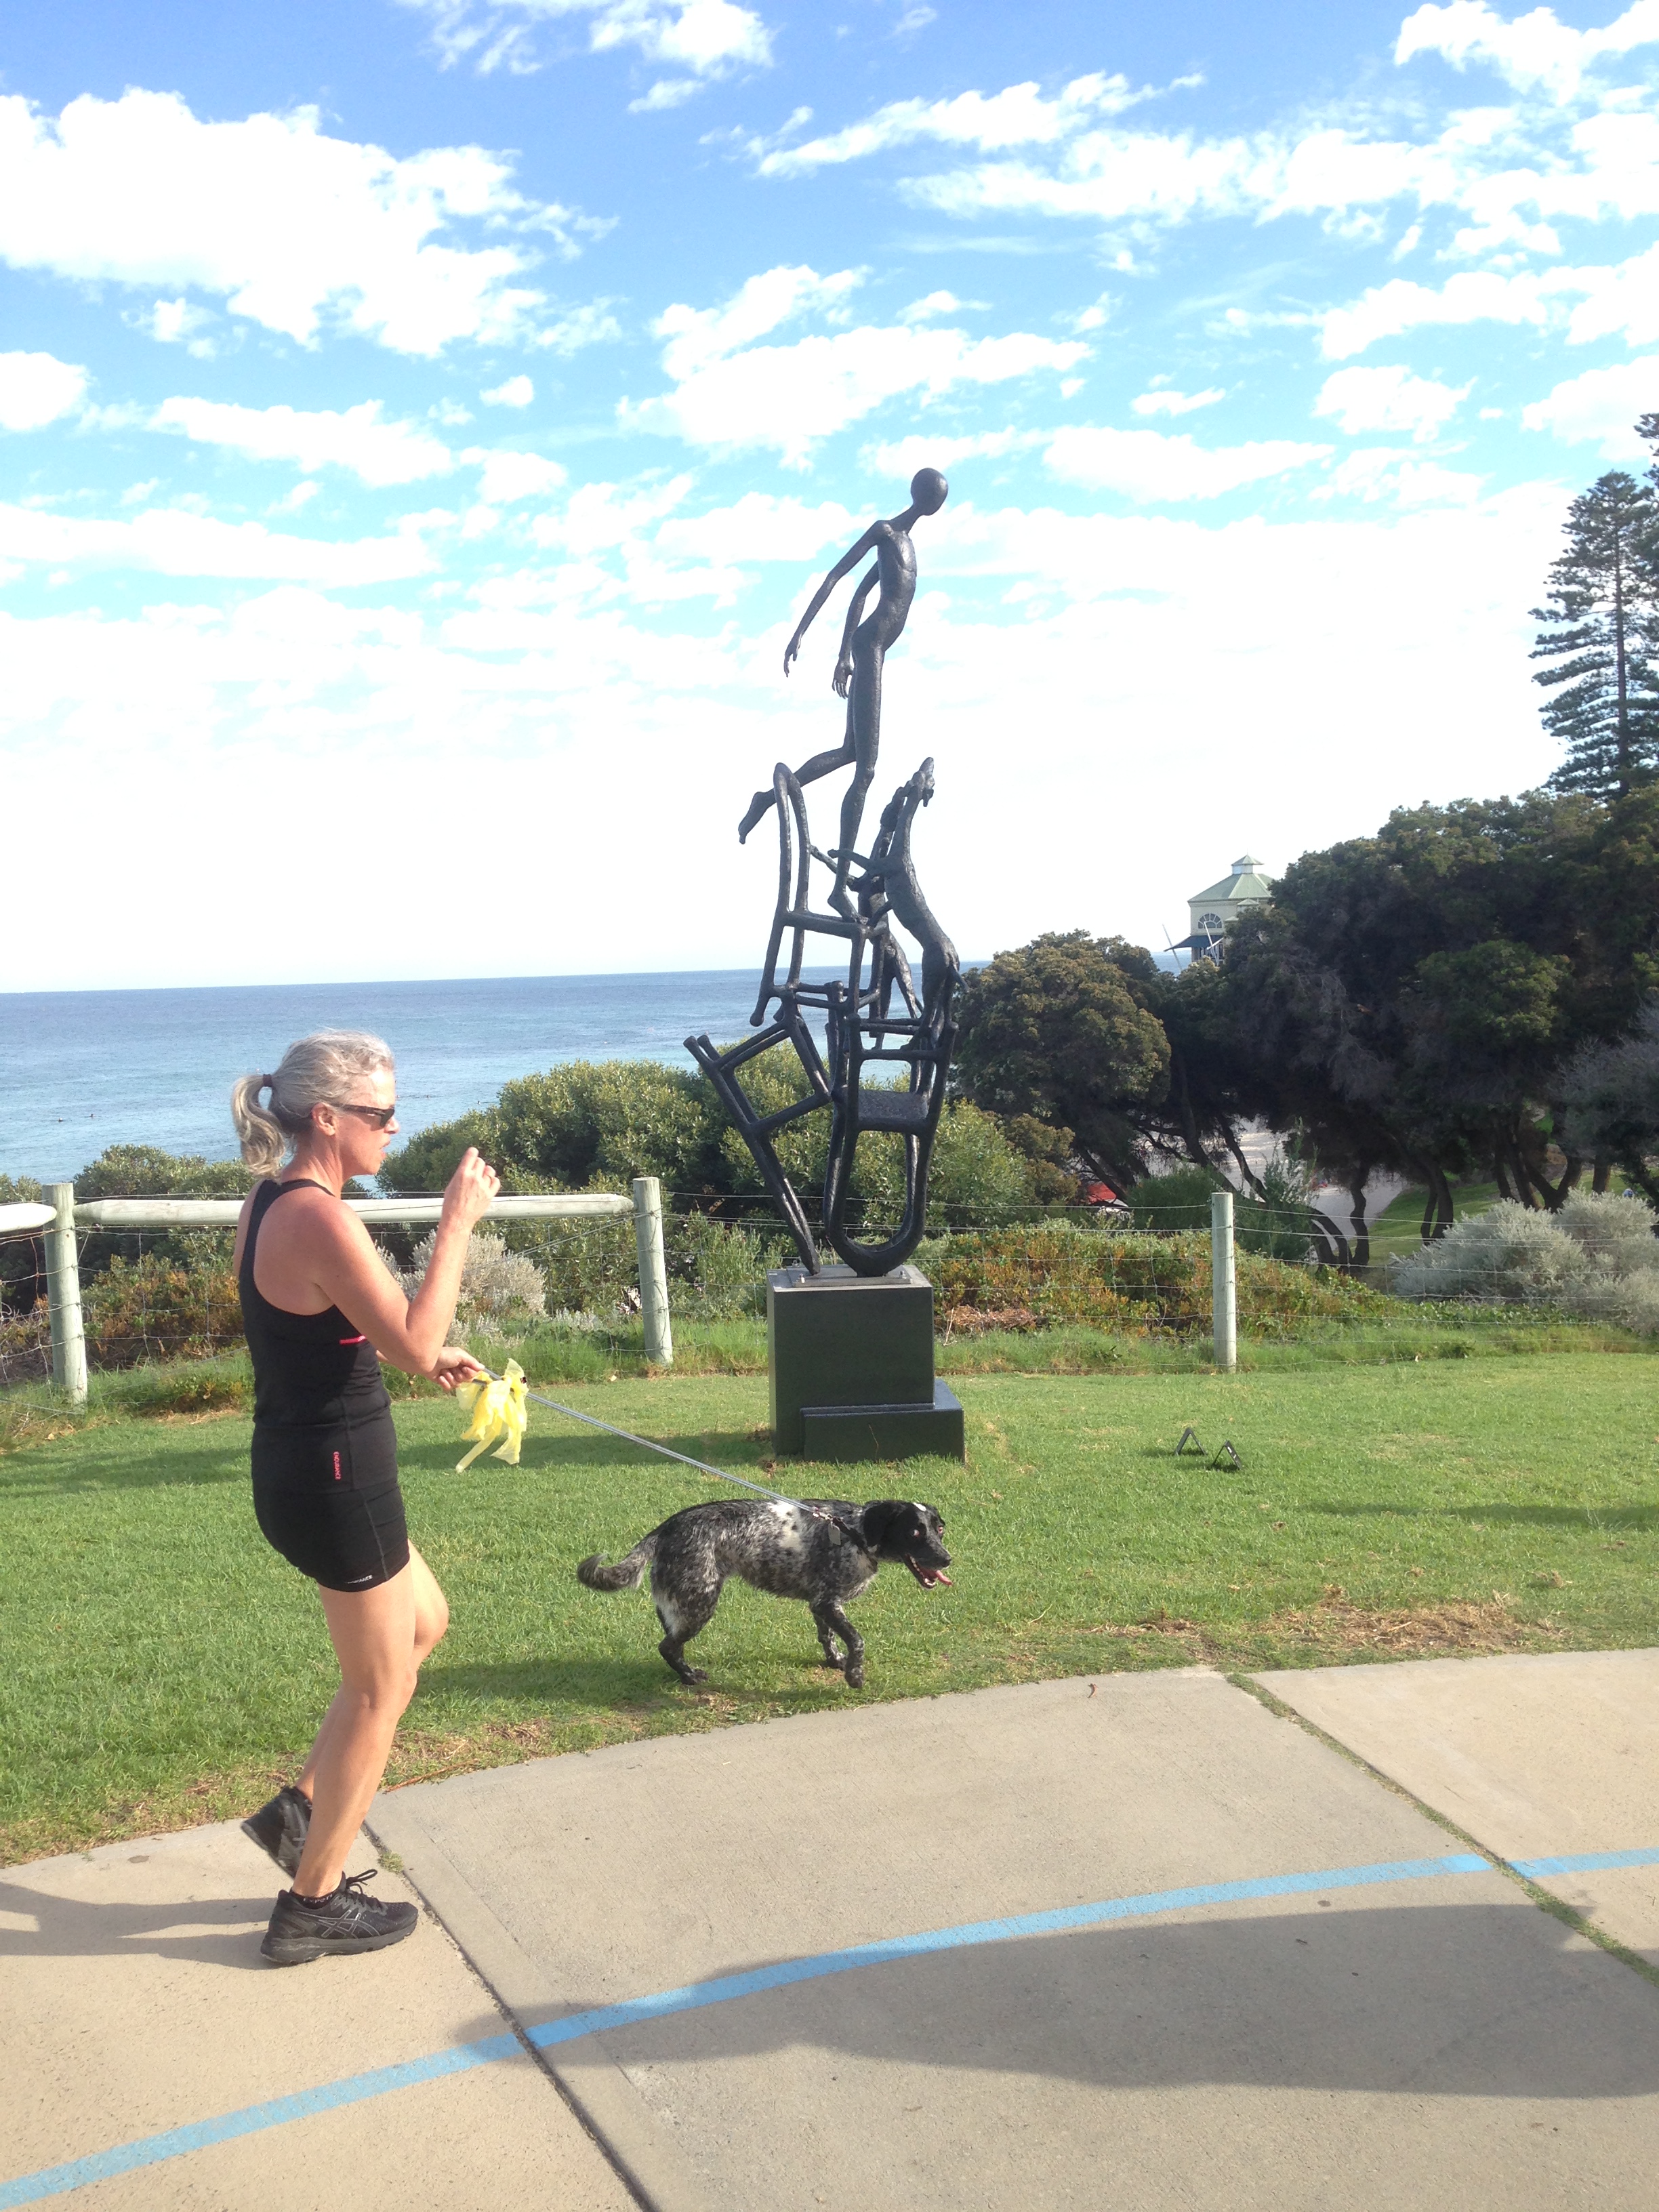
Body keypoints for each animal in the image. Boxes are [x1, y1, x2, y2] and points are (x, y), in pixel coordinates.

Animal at [579, 1504, 946, 1689]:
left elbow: (828, 1637)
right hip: (701, 1602)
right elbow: (857, 1640)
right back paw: (689, 1678)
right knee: (667, 1647)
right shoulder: (827, 1602)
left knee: (670, 1642)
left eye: (939, 1529)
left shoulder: (822, 1603)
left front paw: (835, 1661)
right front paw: (854, 1675)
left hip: (681, 1606)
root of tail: (664, 1529)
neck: (853, 1531)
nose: (947, 1559)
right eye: (915, 1532)